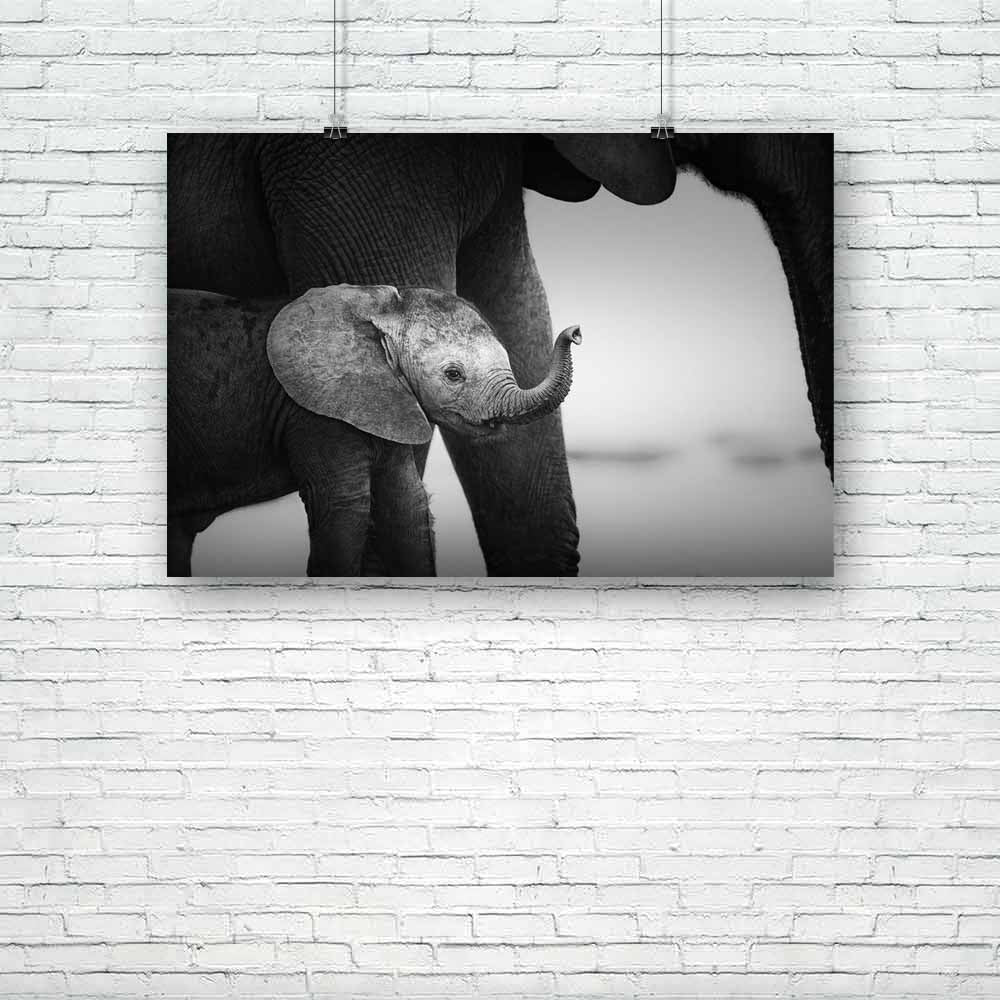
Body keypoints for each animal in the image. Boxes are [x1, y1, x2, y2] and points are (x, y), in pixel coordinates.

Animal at [167, 283, 581, 576]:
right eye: (453, 374)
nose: (575, 332)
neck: (377, 310)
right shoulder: (315, 412)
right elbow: (345, 507)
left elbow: (407, 505)